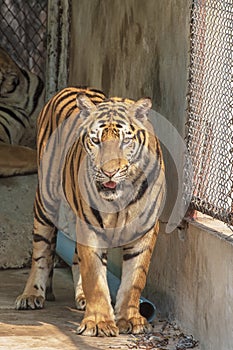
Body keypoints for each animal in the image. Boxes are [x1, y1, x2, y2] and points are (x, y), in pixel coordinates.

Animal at [15, 87, 166, 336]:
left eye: (125, 141)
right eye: (96, 141)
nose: (109, 172)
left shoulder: (145, 231)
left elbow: (134, 279)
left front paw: (130, 319)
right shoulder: (90, 228)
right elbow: (95, 278)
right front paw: (99, 322)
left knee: (76, 257)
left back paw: (81, 297)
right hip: (45, 202)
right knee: (41, 251)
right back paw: (31, 295)